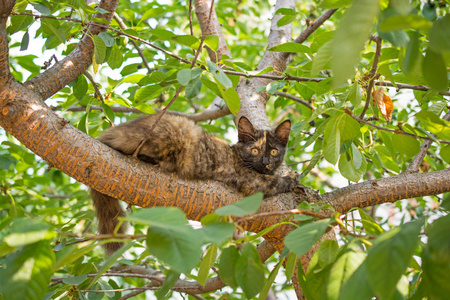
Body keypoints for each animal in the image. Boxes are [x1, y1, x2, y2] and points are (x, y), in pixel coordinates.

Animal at [89, 113, 298, 254]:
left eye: (274, 151)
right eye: (254, 150)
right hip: (180, 130)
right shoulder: (252, 182)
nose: (265, 162)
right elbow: (275, 181)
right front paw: (294, 180)